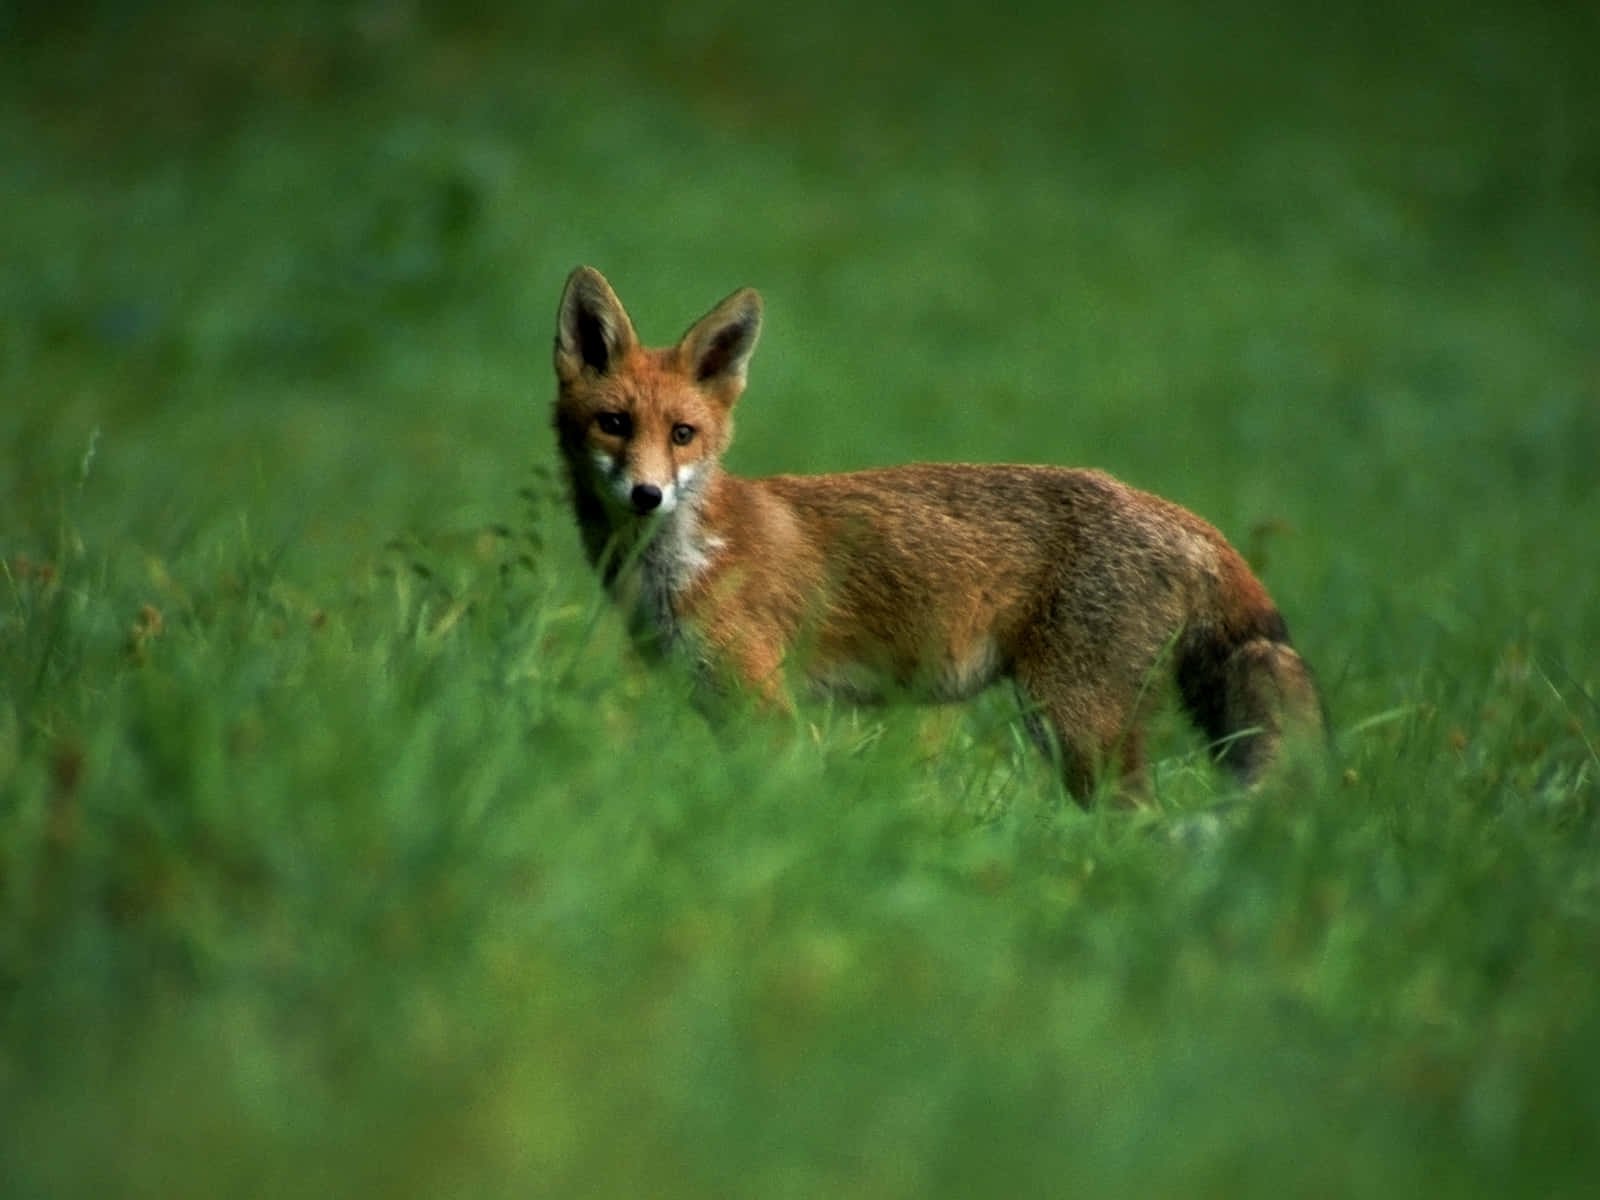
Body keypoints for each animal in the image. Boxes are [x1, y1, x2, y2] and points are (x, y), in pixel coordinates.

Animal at [550, 265, 1324, 809]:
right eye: (614, 424)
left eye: (683, 435)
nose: (647, 495)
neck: (684, 561)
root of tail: (1183, 516)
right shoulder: (716, 700)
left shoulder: (764, 704)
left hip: (1073, 723)